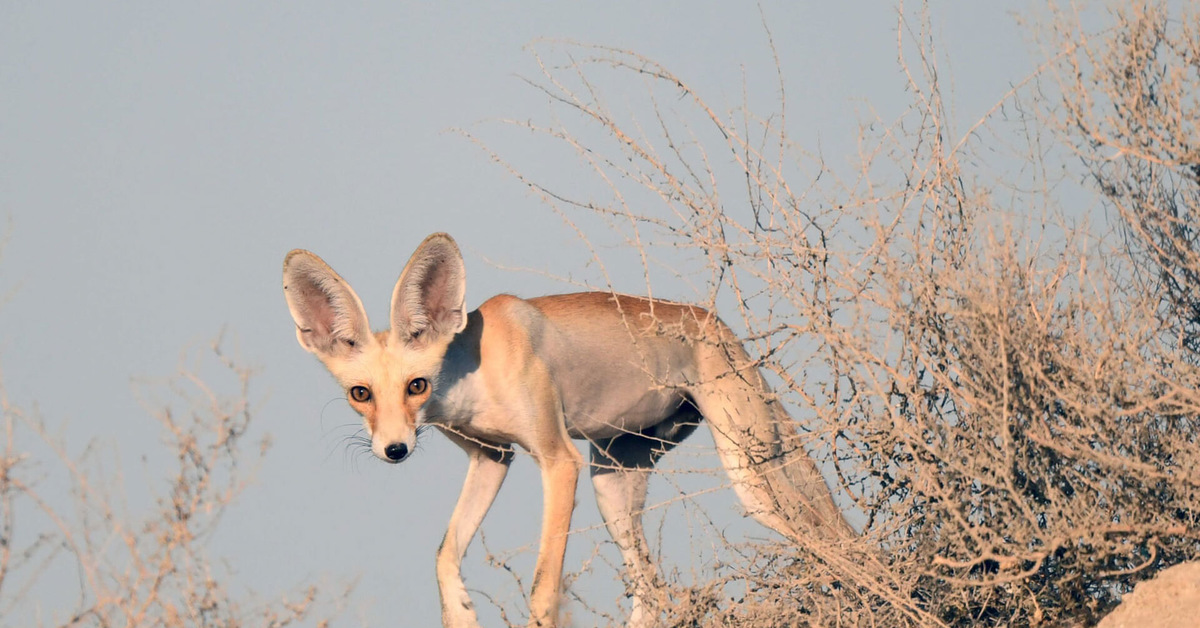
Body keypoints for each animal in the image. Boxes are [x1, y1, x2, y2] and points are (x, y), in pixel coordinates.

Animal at [283, 232, 854, 624]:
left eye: (416, 385)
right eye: (361, 394)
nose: (395, 449)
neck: (475, 371)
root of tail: (720, 324)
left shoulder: (558, 460)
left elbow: (542, 587)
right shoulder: (492, 458)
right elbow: (445, 552)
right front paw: (460, 613)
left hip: (751, 476)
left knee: (838, 551)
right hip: (613, 488)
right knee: (653, 591)